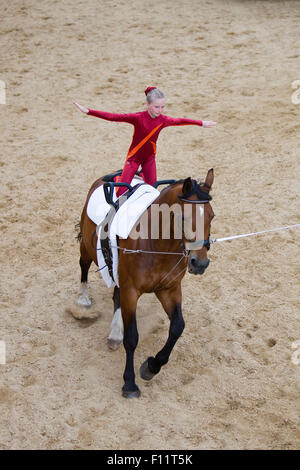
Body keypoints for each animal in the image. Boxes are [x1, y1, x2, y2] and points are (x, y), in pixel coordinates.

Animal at [77, 169, 213, 396]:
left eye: (211, 216)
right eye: (183, 217)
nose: (200, 263)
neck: (157, 246)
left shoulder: (169, 289)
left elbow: (177, 327)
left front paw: (151, 366)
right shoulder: (131, 291)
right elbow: (132, 337)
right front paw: (129, 382)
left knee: (116, 295)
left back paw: (115, 333)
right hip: (87, 248)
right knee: (84, 266)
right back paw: (83, 300)